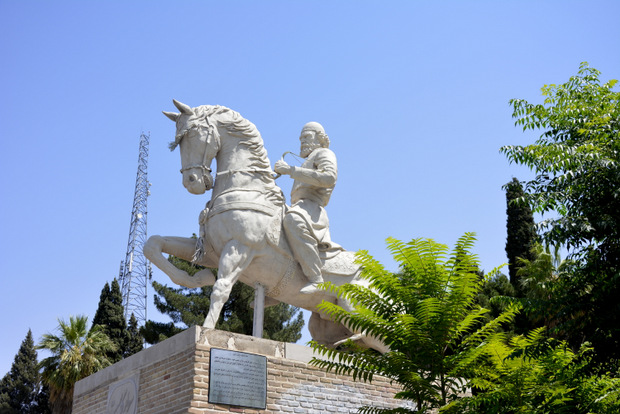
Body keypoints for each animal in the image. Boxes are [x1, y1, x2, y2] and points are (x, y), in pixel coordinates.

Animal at [145, 100, 386, 352]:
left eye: (192, 134)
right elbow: (153, 244)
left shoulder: (239, 247)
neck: (246, 188)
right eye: (177, 141)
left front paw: (207, 329)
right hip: (327, 324)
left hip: (356, 311)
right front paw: (198, 279)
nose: (191, 182)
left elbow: (221, 288)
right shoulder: (209, 252)